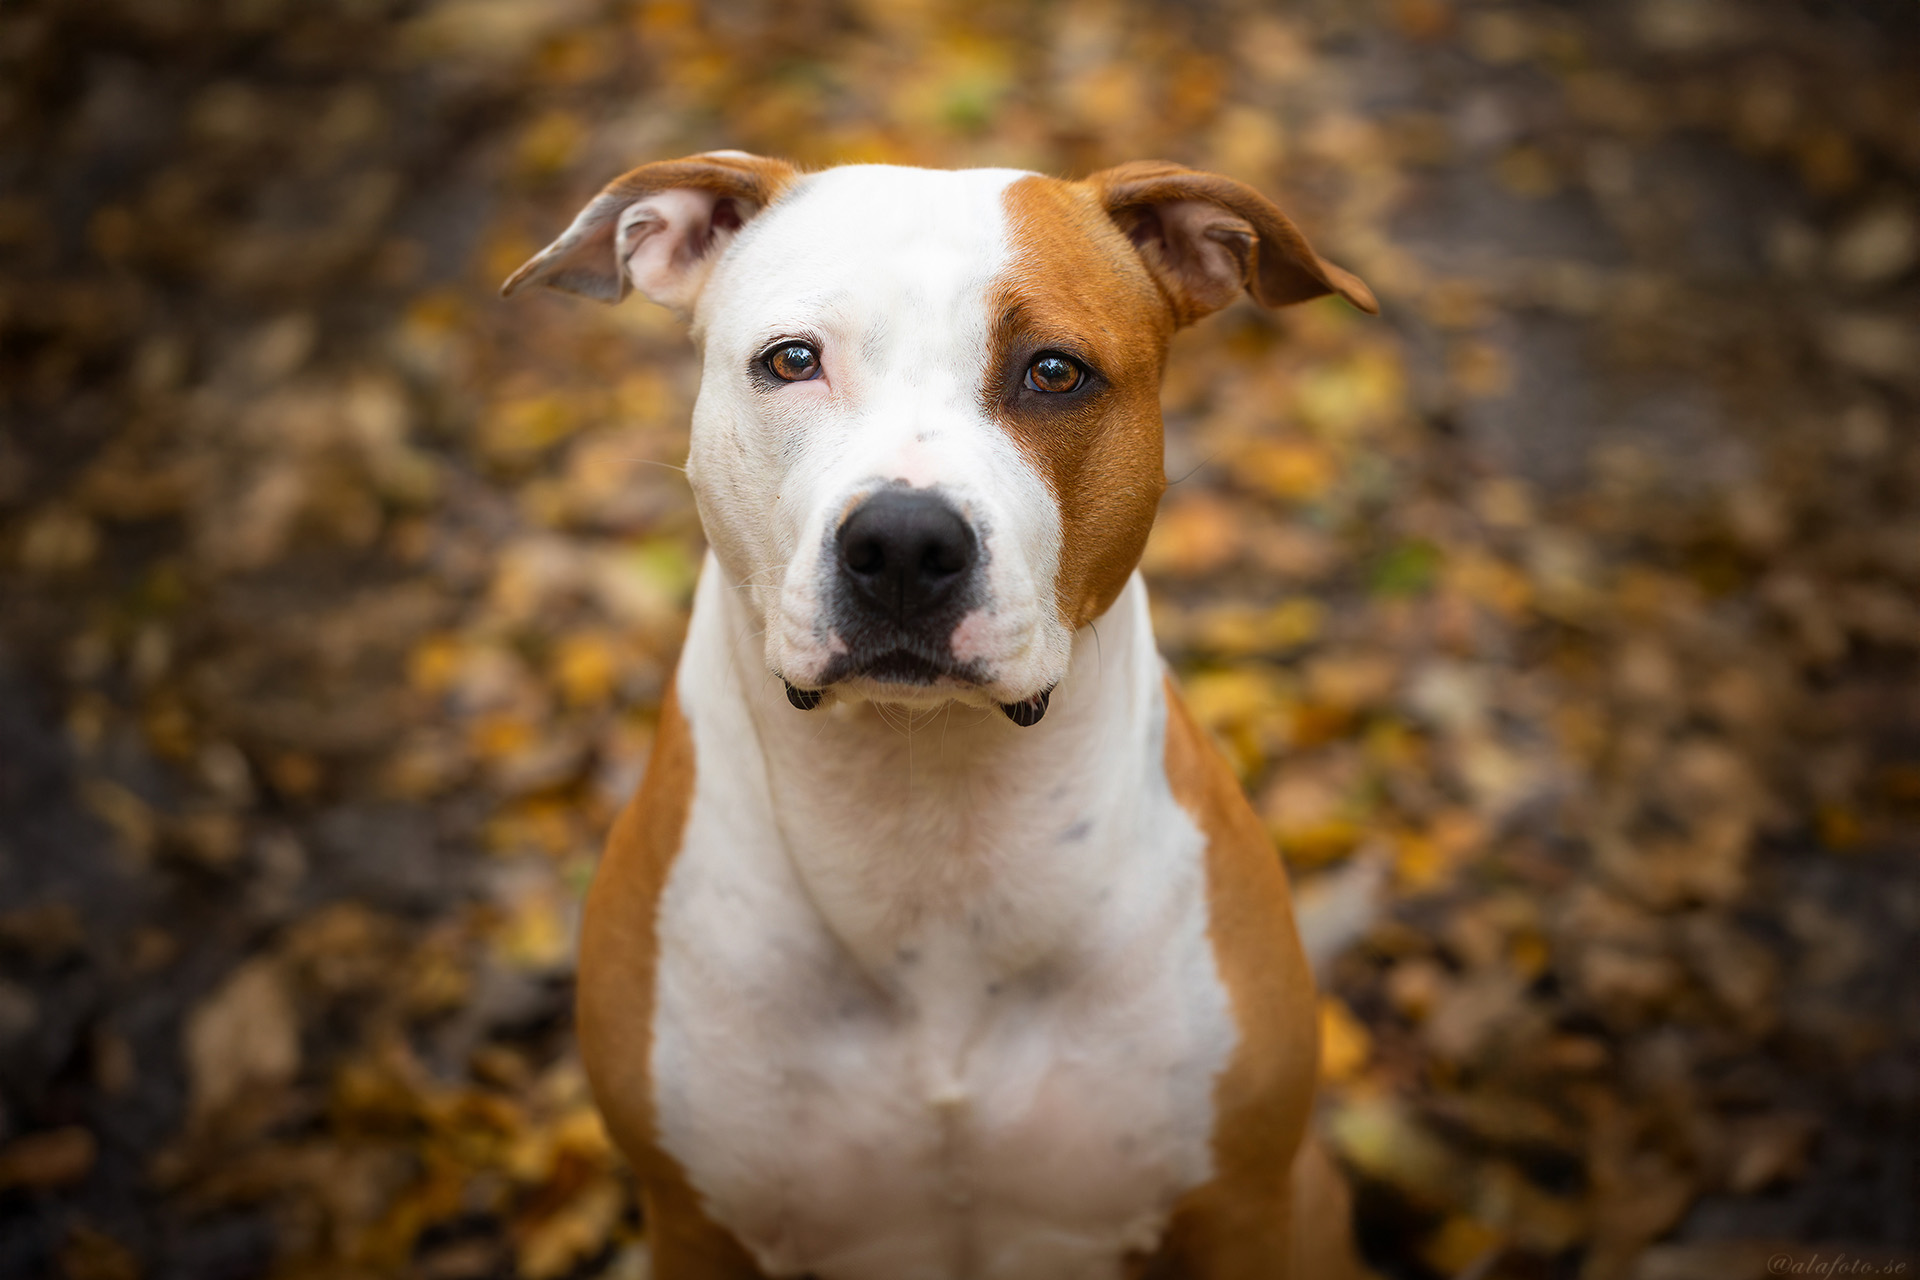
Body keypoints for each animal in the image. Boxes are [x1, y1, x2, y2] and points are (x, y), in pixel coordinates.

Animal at [504, 153, 1378, 1280]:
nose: (905, 542)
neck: (929, 816)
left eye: (1054, 372)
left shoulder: (1245, 1206)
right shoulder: (694, 1222)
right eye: (792, 360)